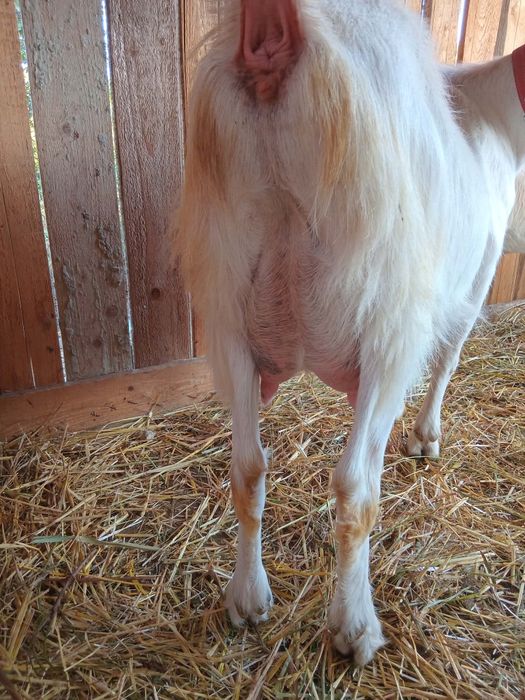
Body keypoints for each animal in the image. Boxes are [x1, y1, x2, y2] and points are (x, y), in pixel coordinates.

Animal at [176, 0, 523, 665]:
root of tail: (277, 37)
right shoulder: (475, 276)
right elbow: (449, 358)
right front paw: (426, 438)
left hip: (228, 306)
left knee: (247, 468)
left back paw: (247, 598)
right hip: (388, 323)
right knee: (357, 488)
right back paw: (354, 624)